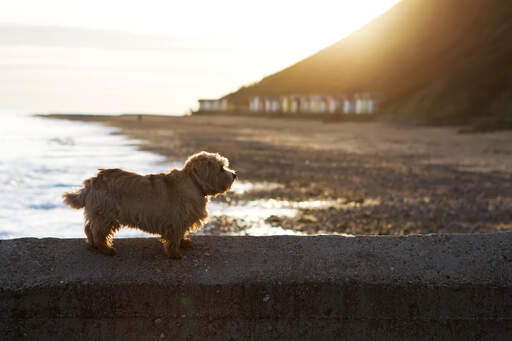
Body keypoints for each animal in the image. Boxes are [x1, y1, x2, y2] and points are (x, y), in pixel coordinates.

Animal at [62, 151, 236, 258]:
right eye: (221, 168)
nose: (234, 174)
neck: (194, 183)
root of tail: (92, 182)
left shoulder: (181, 221)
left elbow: (181, 234)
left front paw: (184, 242)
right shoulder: (175, 220)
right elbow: (174, 238)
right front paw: (175, 254)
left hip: (100, 214)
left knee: (89, 228)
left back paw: (94, 245)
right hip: (105, 215)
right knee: (97, 232)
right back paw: (106, 249)